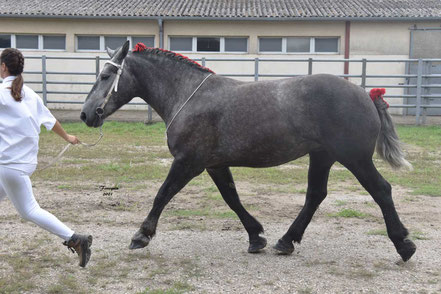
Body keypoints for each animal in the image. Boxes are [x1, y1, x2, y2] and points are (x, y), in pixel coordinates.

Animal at [81, 41, 414, 262]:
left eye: (105, 76)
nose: (86, 114)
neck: (189, 96)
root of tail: (366, 94)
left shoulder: (188, 162)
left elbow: (162, 195)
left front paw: (141, 235)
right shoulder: (214, 165)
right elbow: (232, 199)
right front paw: (256, 237)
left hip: (354, 158)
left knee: (381, 190)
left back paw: (404, 245)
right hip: (322, 157)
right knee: (315, 195)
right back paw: (285, 241)